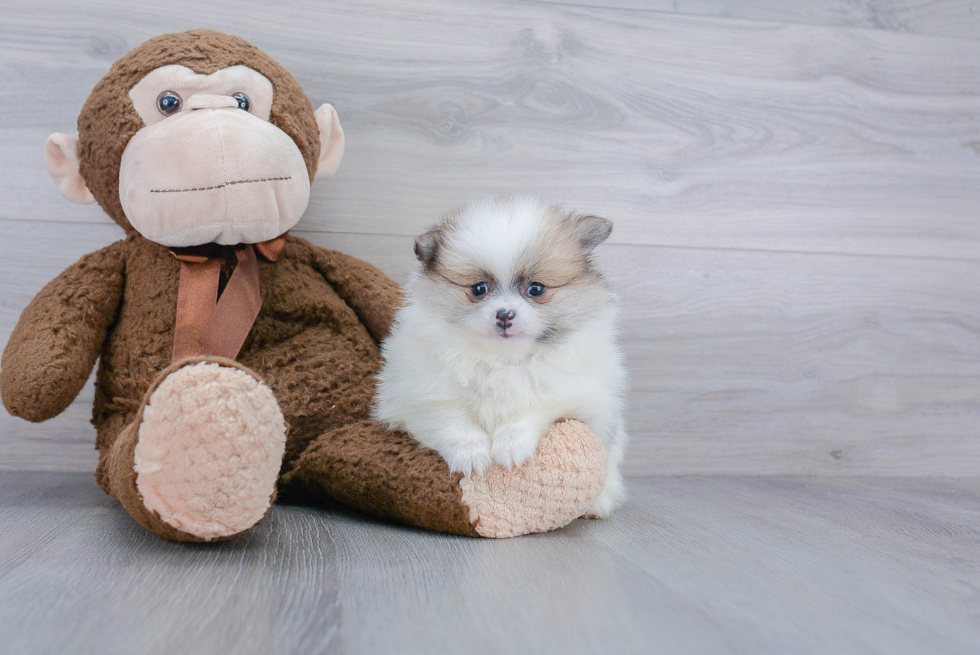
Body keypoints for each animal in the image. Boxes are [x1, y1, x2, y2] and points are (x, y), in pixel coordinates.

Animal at [376, 195, 628, 516]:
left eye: (536, 289)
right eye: (479, 288)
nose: (505, 314)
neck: (502, 359)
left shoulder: (574, 393)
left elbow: (532, 407)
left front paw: (510, 446)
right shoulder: (419, 394)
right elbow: (452, 419)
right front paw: (471, 454)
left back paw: (599, 504)